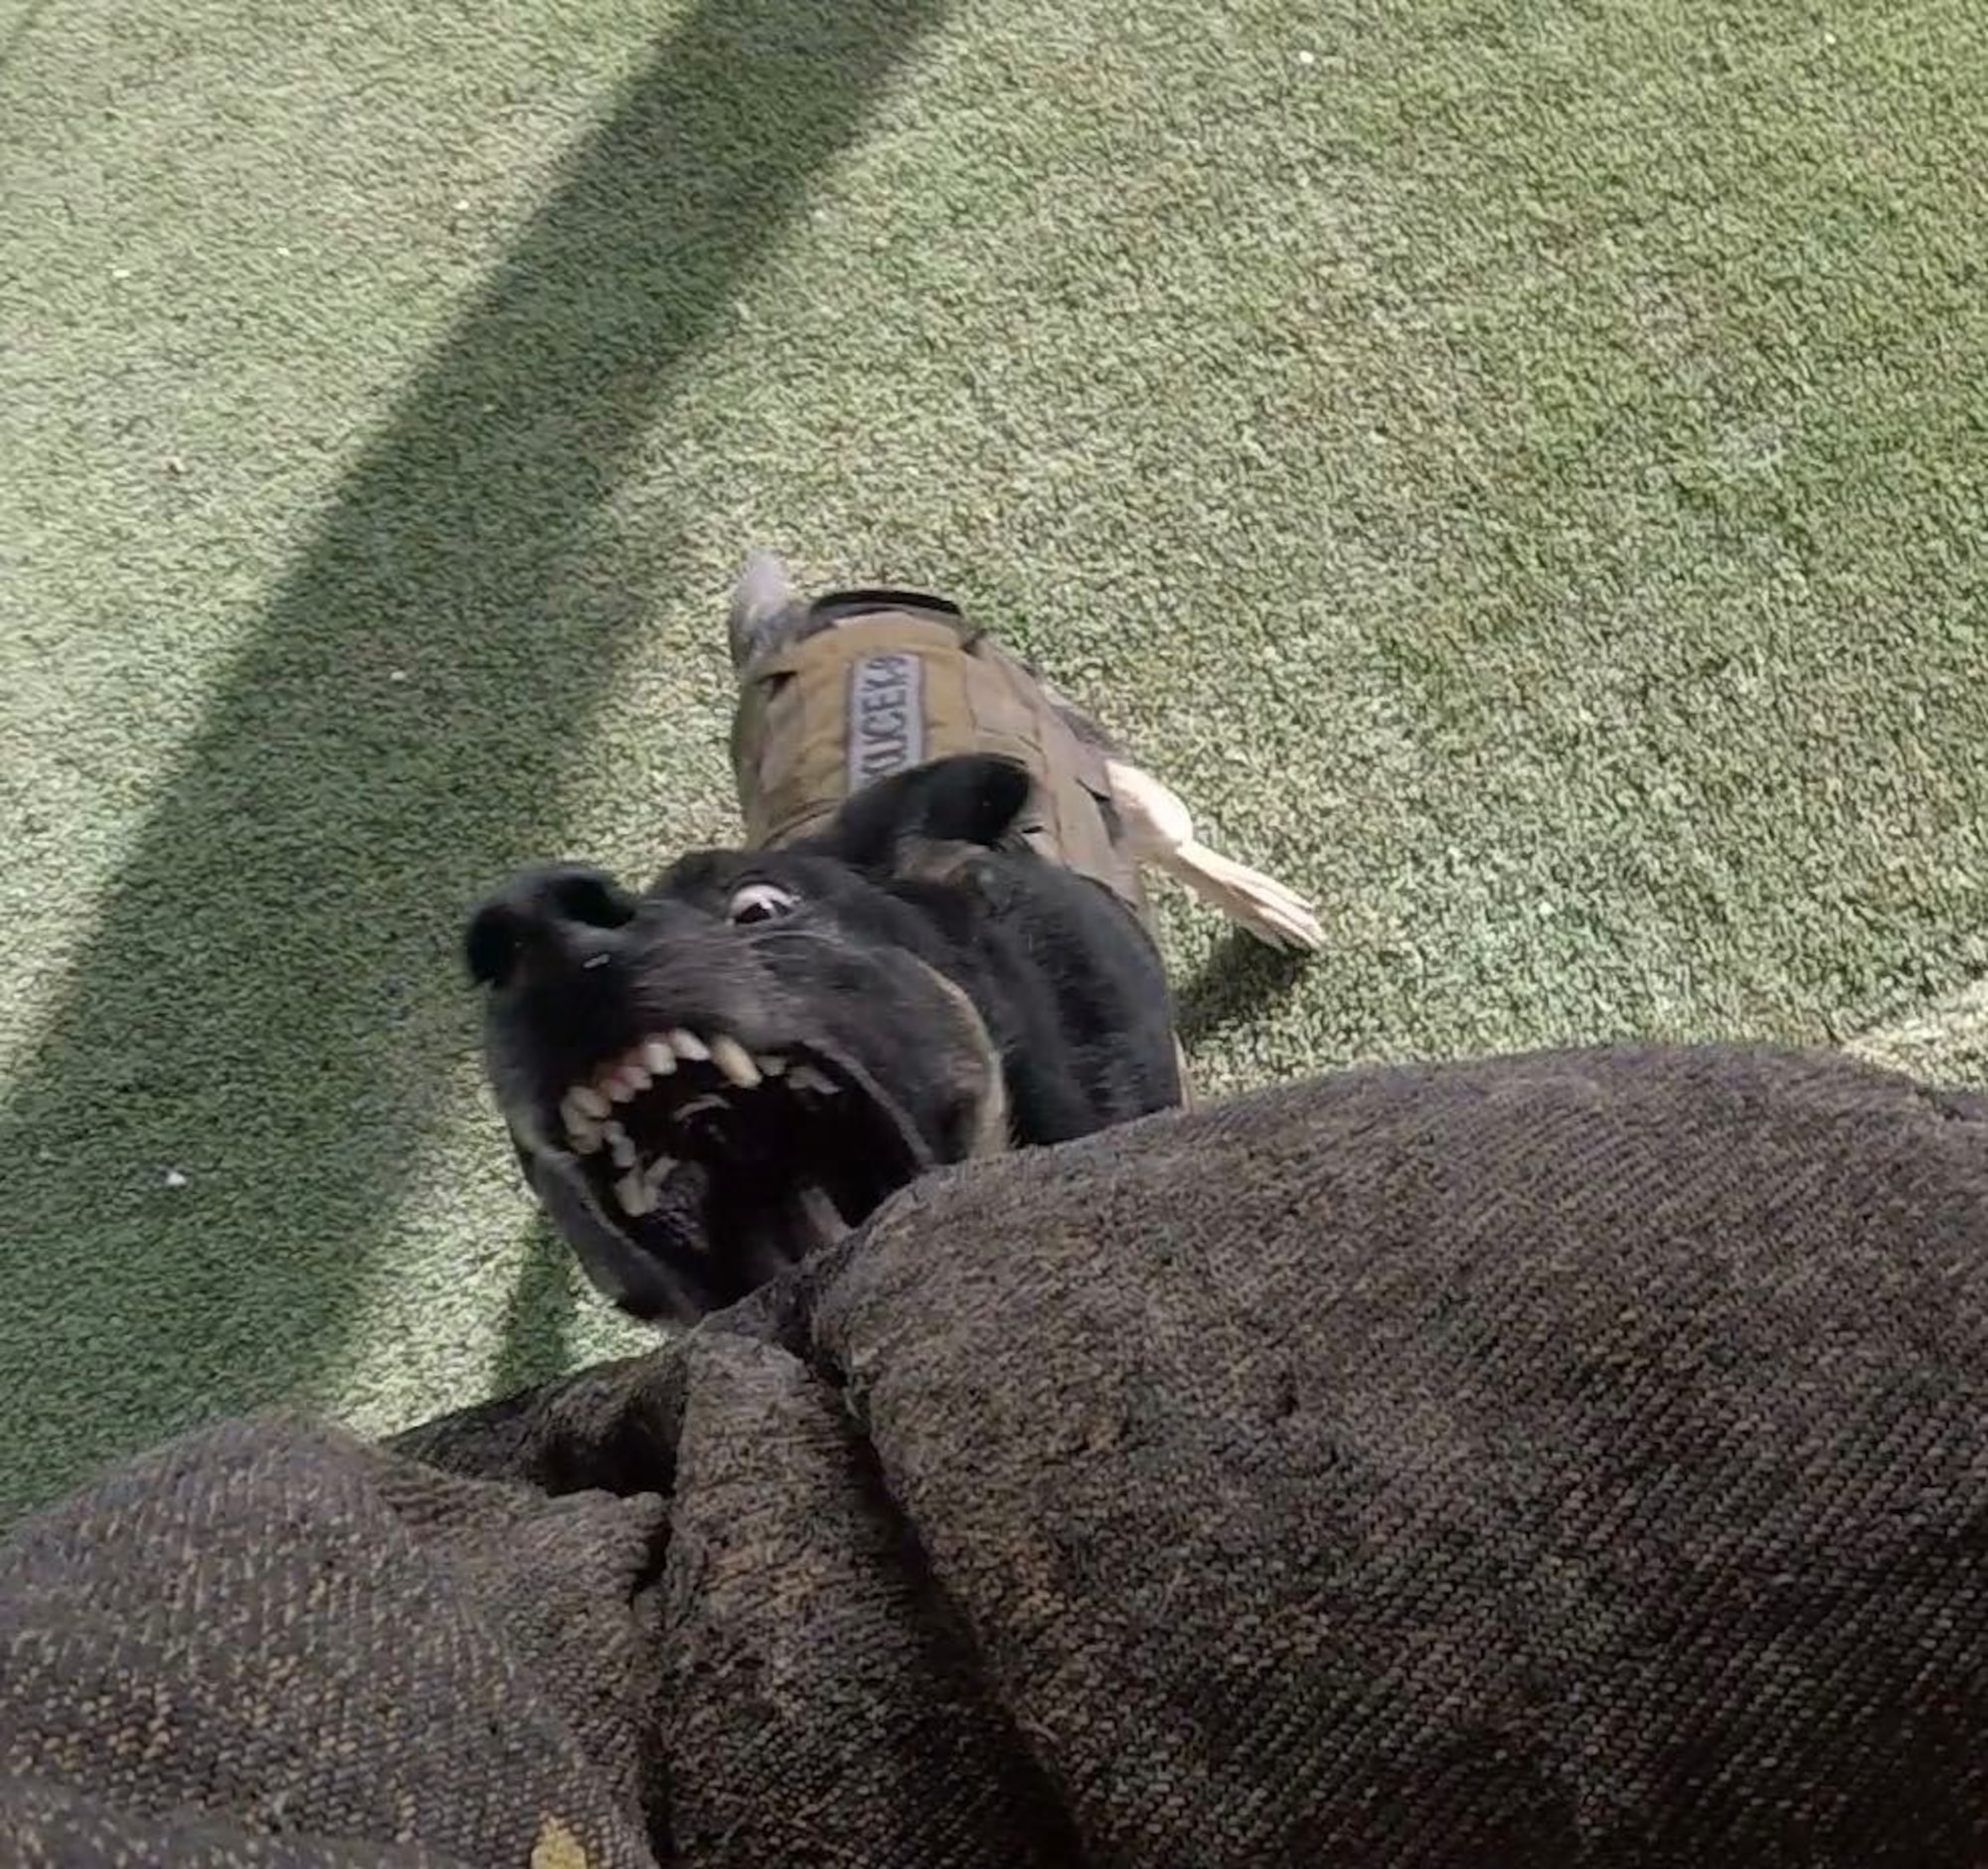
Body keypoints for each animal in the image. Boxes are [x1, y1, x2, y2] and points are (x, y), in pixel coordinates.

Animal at [465, 557, 1320, 1312]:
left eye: (760, 908)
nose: (530, 920)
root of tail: (805, 615)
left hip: (1115, 781)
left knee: (1166, 835)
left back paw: (1270, 908)